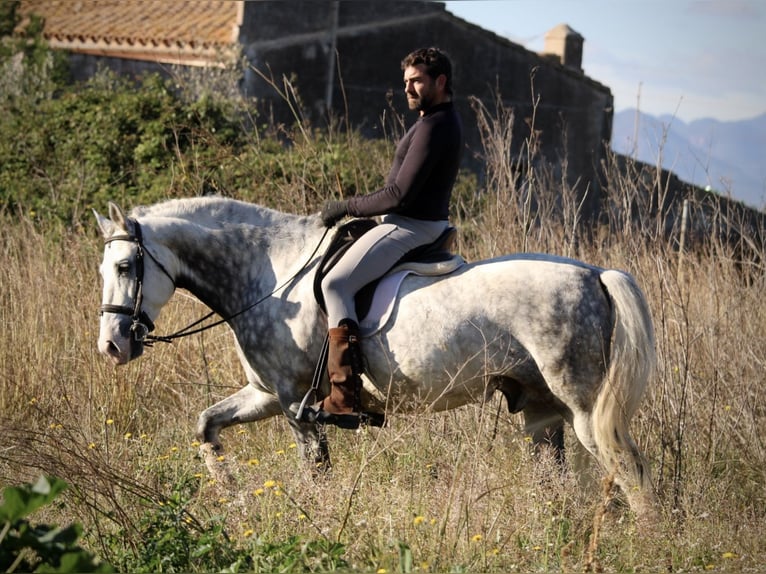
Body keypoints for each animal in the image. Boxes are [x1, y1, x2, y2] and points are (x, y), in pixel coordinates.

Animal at [94, 196, 658, 518]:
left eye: (124, 266)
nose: (112, 346)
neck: (271, 273)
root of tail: (595, 274)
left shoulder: (296, 403)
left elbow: (316, 473)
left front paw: (317, 524)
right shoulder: (266, 394)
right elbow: (206, 425)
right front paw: (231, 497)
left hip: (583, 411)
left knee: (629, 471)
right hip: (540, 411)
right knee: (557, 480)